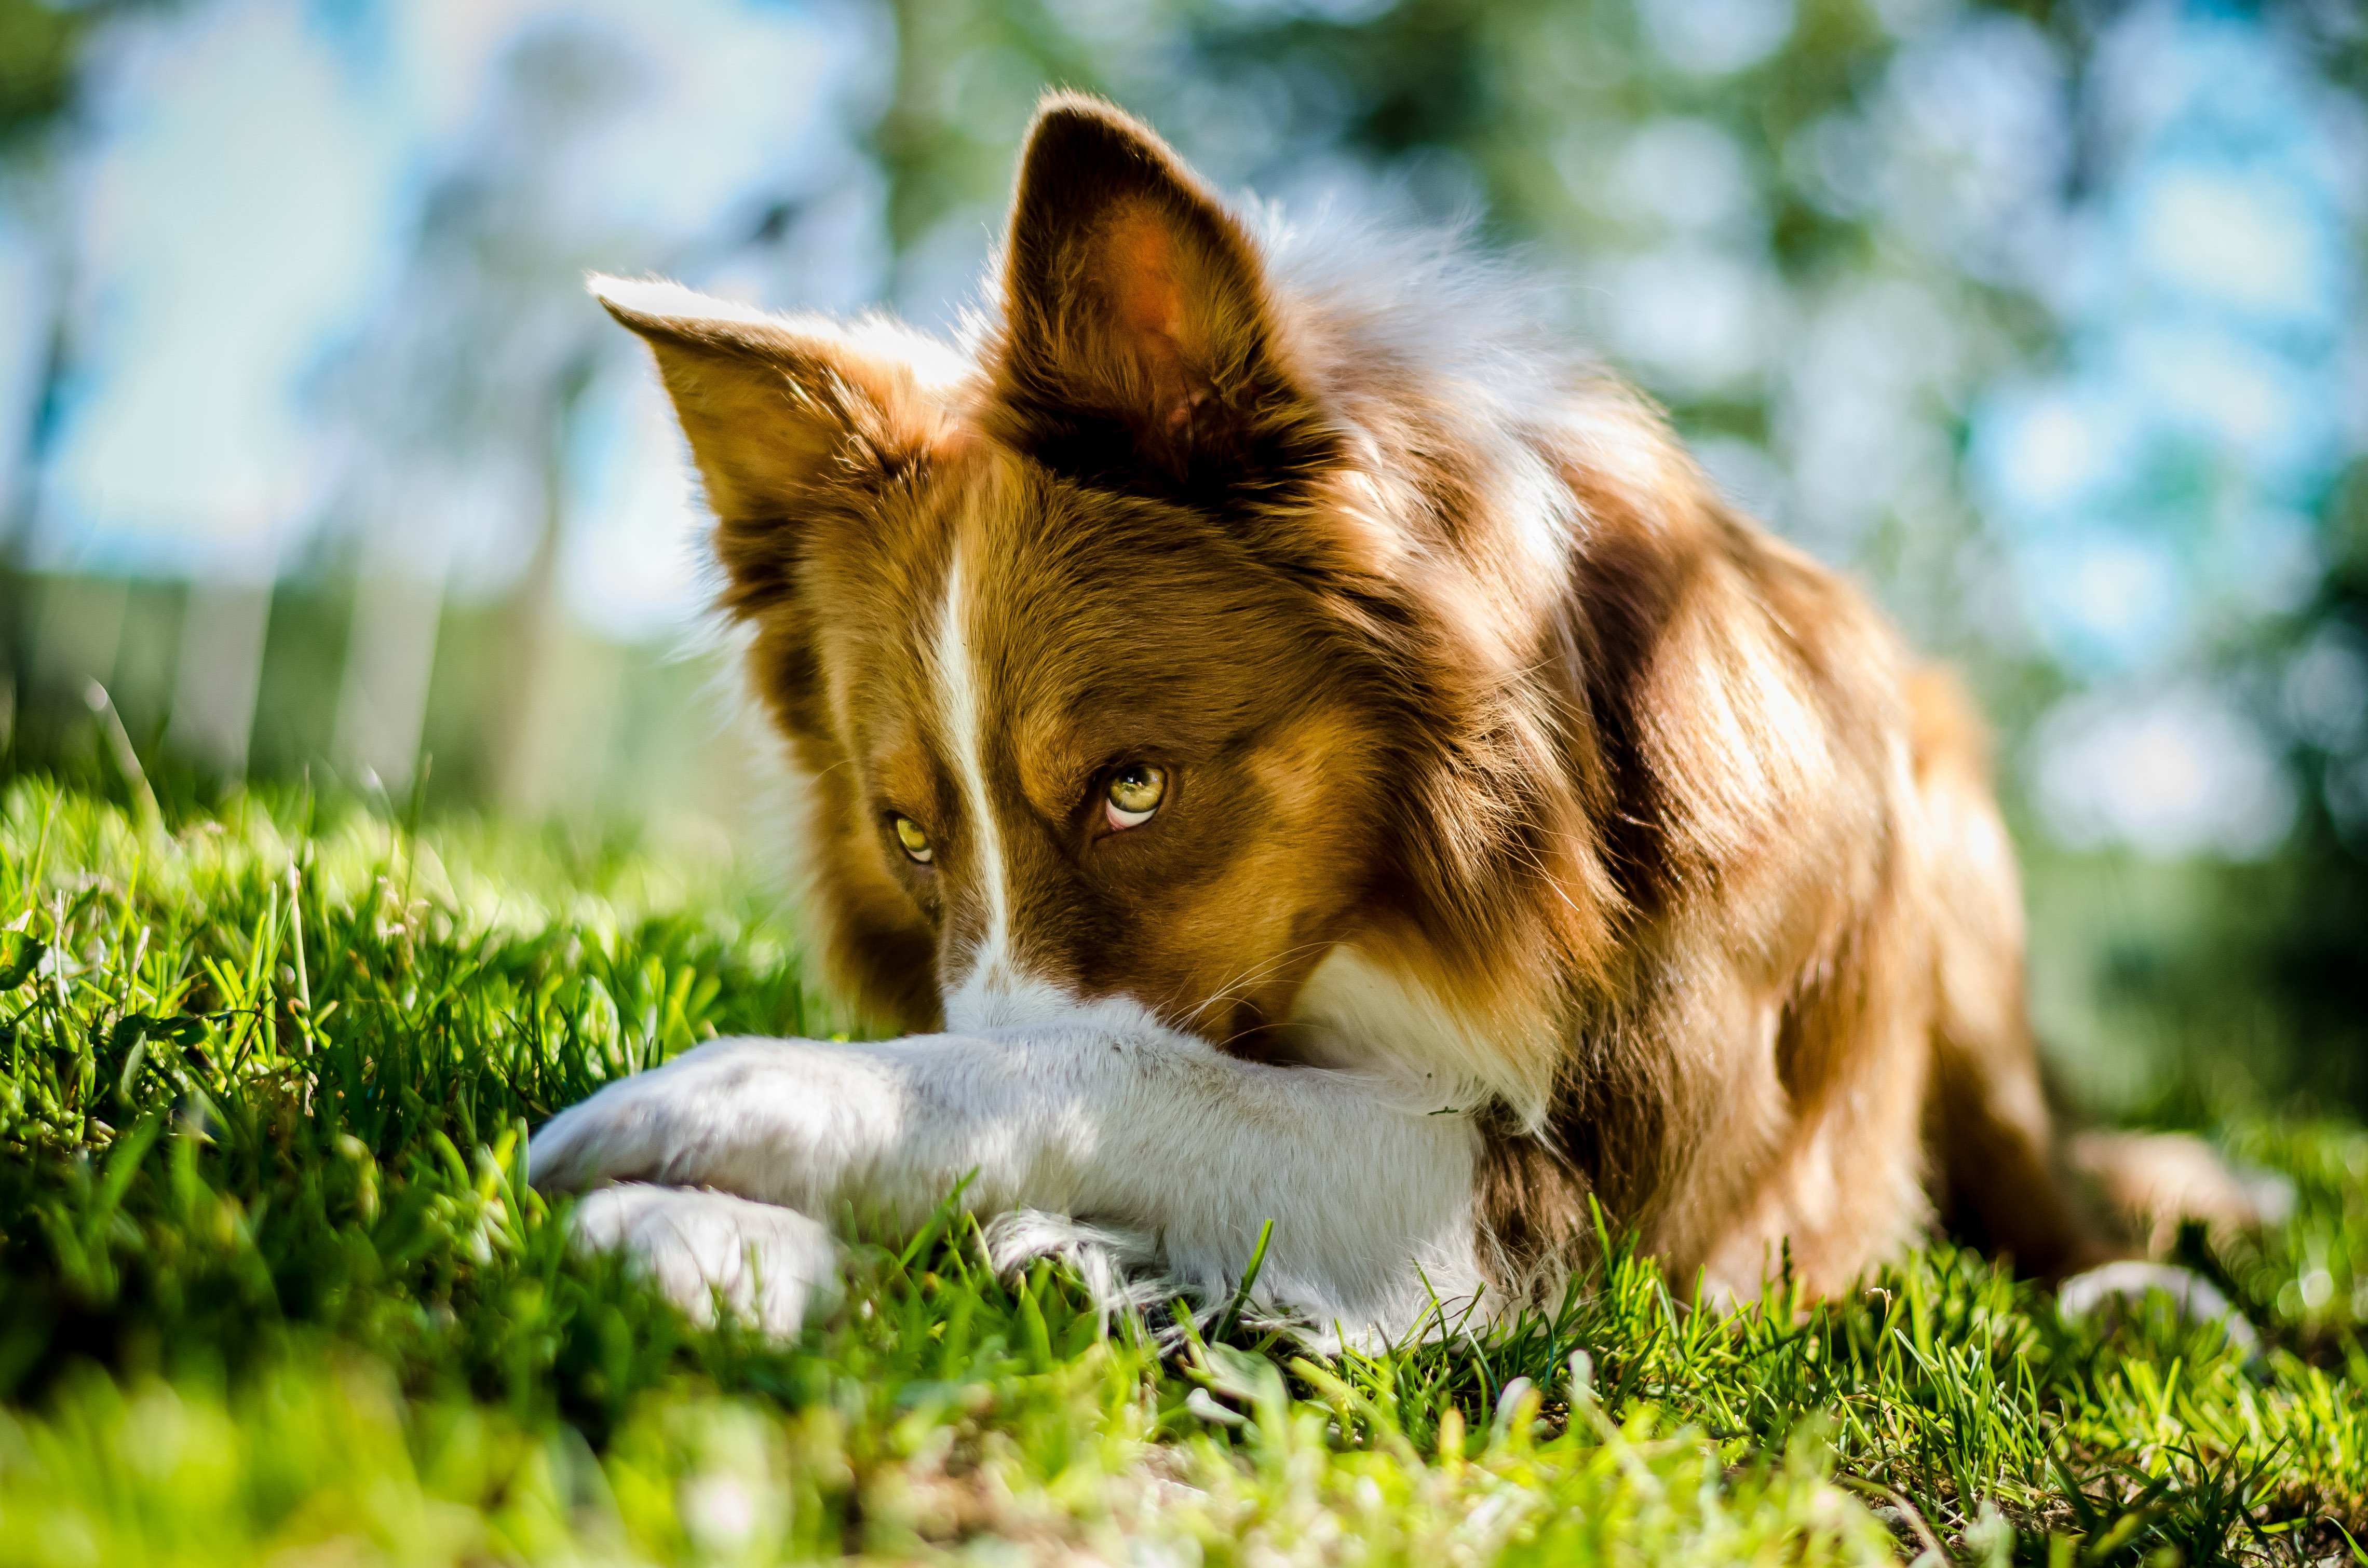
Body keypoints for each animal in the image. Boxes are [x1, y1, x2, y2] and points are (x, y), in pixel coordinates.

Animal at [533, 98, 2216, 1345]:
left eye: (1131, 786)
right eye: (906, 832)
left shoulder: (1604, 1200)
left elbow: (1120, 1068)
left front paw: (753, 1095)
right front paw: (711, 1231)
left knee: (2040, 1189)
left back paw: (2143, 1290)